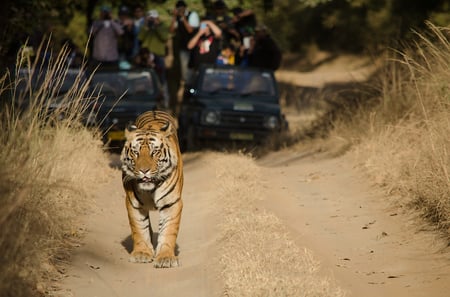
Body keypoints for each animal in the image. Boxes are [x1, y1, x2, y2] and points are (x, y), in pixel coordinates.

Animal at [120, 110, 184, 268]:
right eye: (135, 152)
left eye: (154, 152)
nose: (144, 171)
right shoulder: (133, 204)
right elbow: (139, 229)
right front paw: (142, 253)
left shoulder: (172, 203)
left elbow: (168, 230)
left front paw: (166, 258)